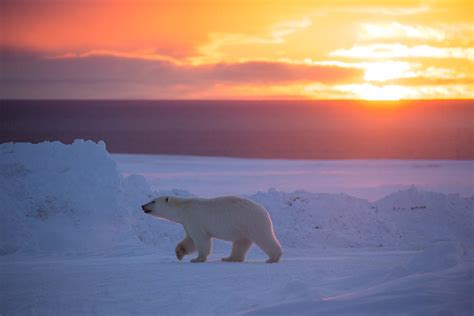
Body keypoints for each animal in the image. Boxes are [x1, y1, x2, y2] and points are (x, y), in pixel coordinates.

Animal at [141, 196, 282, 262]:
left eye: (153, 201)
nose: (142, 206)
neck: (183, 207)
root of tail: (265, 212)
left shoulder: (194, 218)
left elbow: (200, 239)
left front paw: (197, 259)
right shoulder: (187, 222)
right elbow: (190, 240)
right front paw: (179, 252)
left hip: (252, 222)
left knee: (263, 238)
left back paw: (273, 258)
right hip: (243, 227)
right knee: (241, 243)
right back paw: (229, 258)